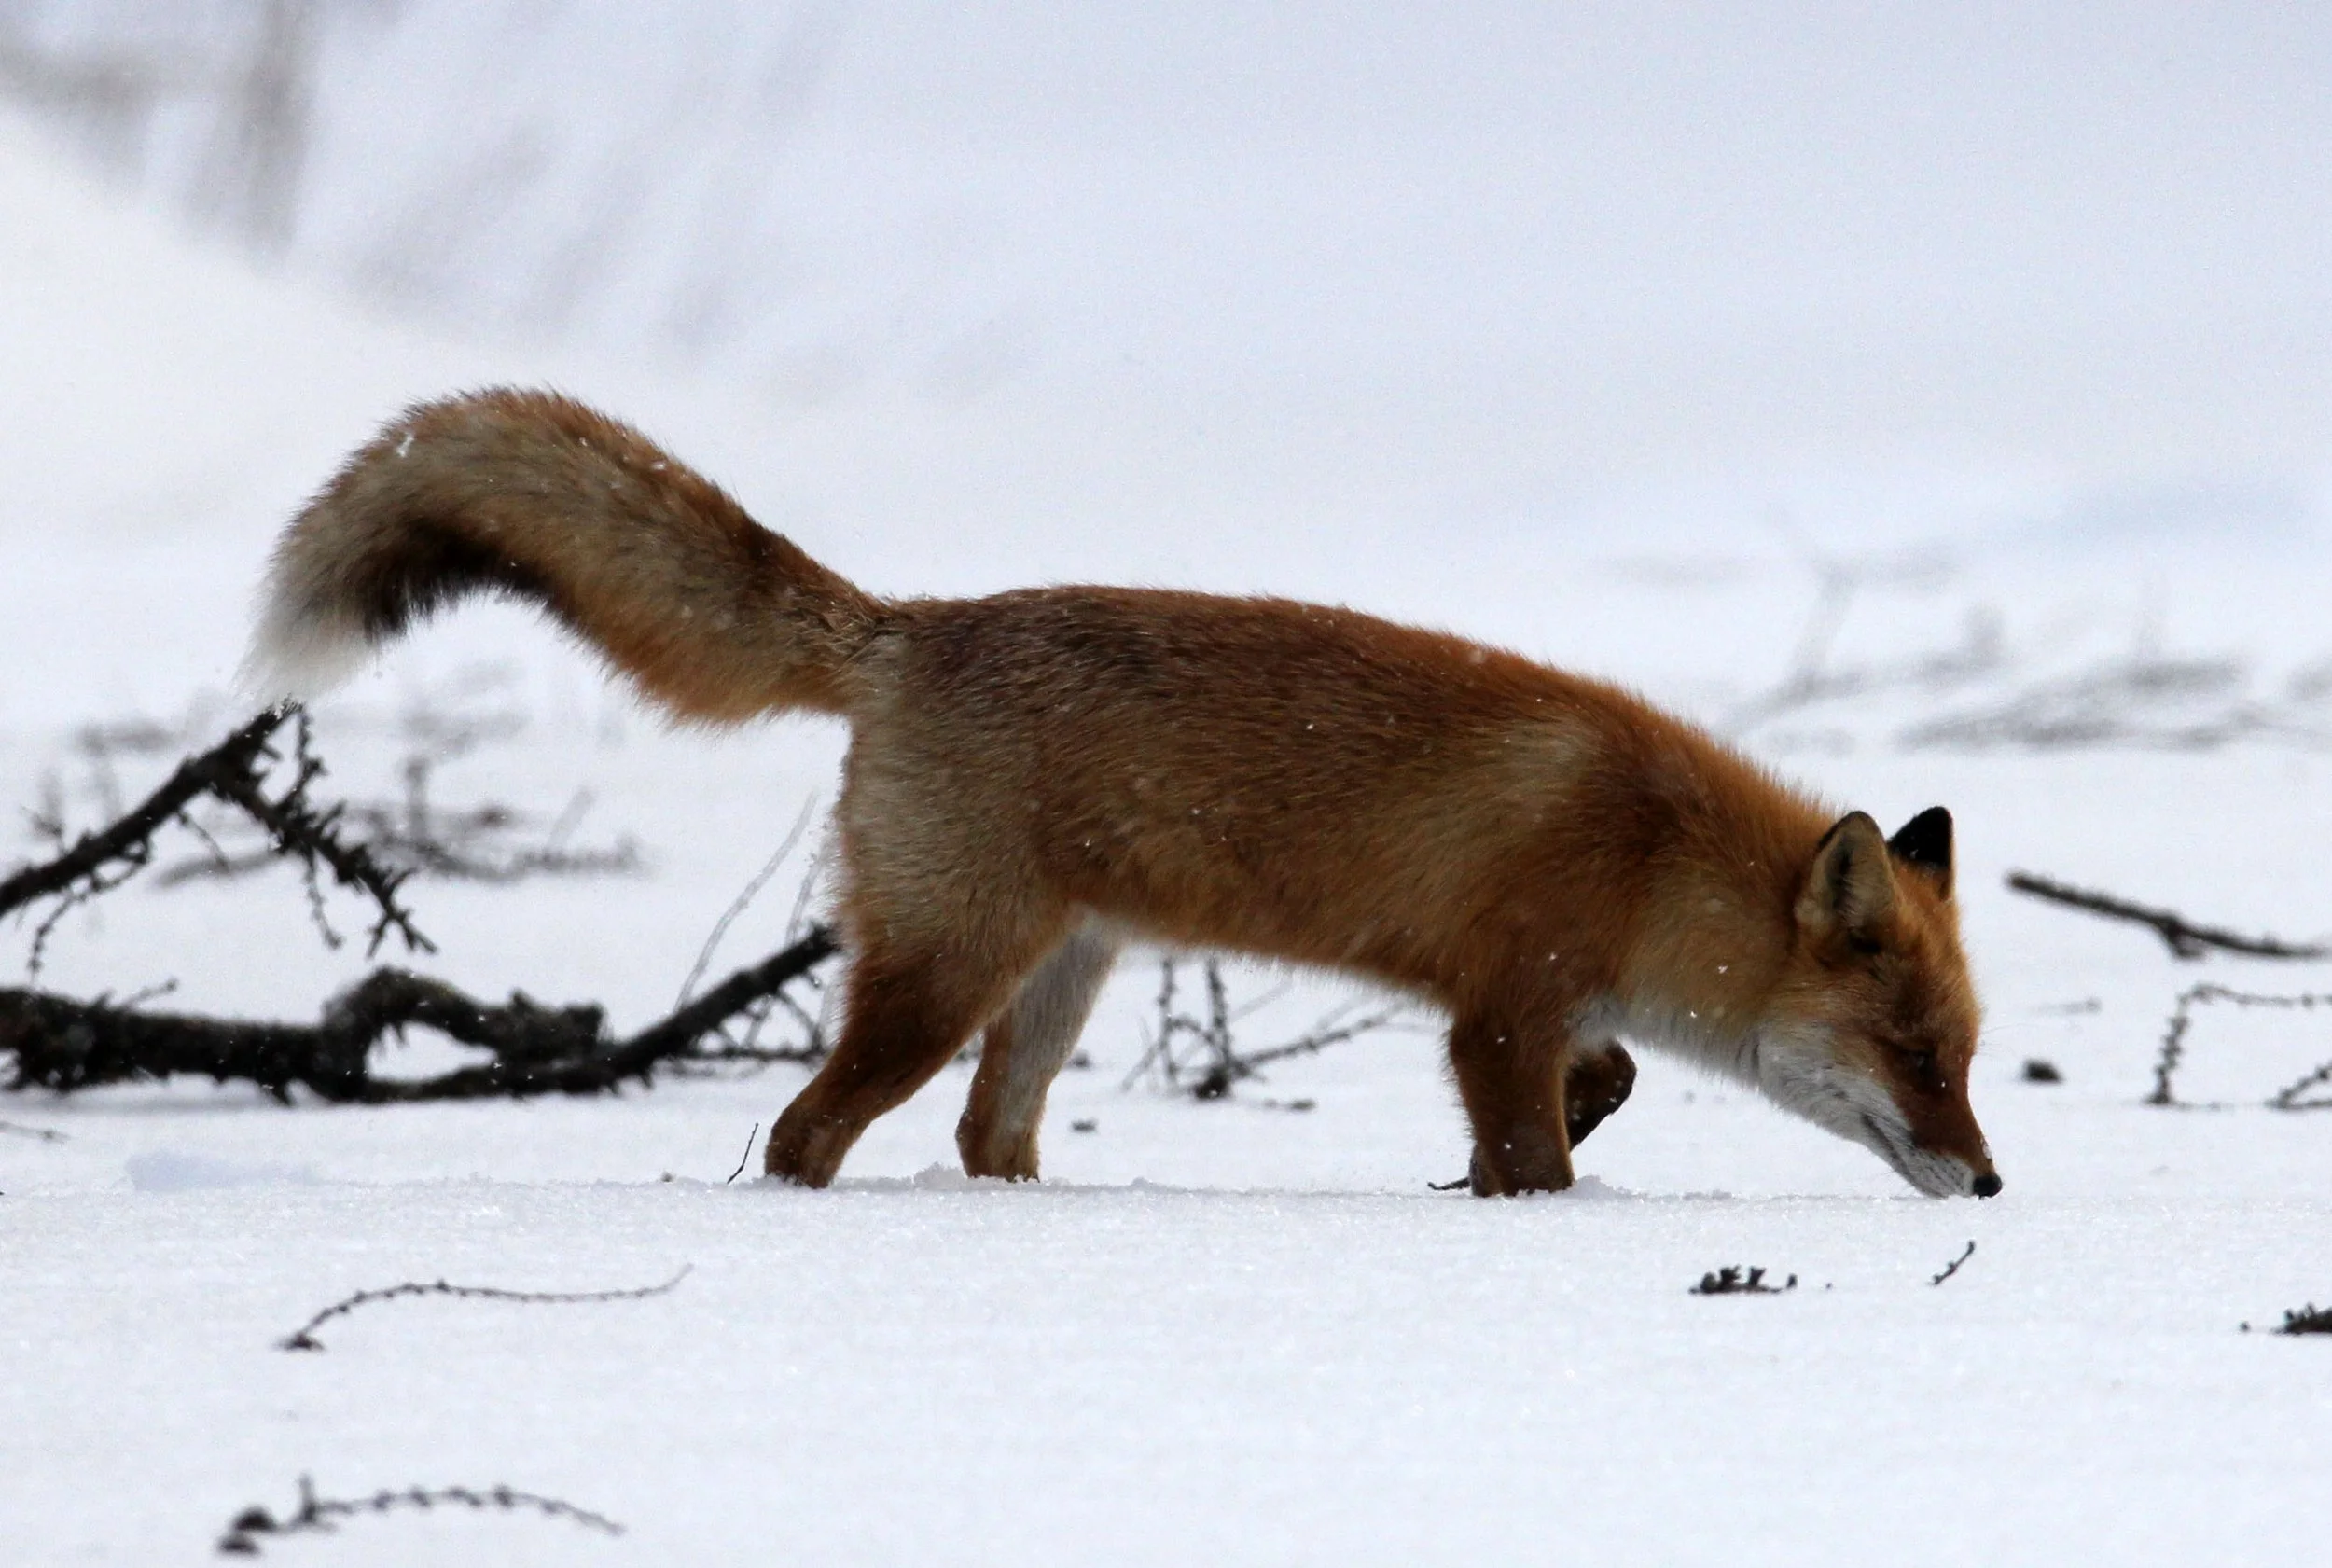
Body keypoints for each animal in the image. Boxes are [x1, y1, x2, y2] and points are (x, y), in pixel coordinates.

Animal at [244, 388, 1999, 1199]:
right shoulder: (1494, 1008)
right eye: (1914, 1057)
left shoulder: (1545, 1006)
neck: (1649, 853)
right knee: (811, 1129)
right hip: (945, 973)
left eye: (1967, 1061)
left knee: (984, 1134)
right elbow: (1539, 1153)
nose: (1988, 1180)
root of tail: (907, 628)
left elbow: (1608, 1083)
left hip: (1060, 976)